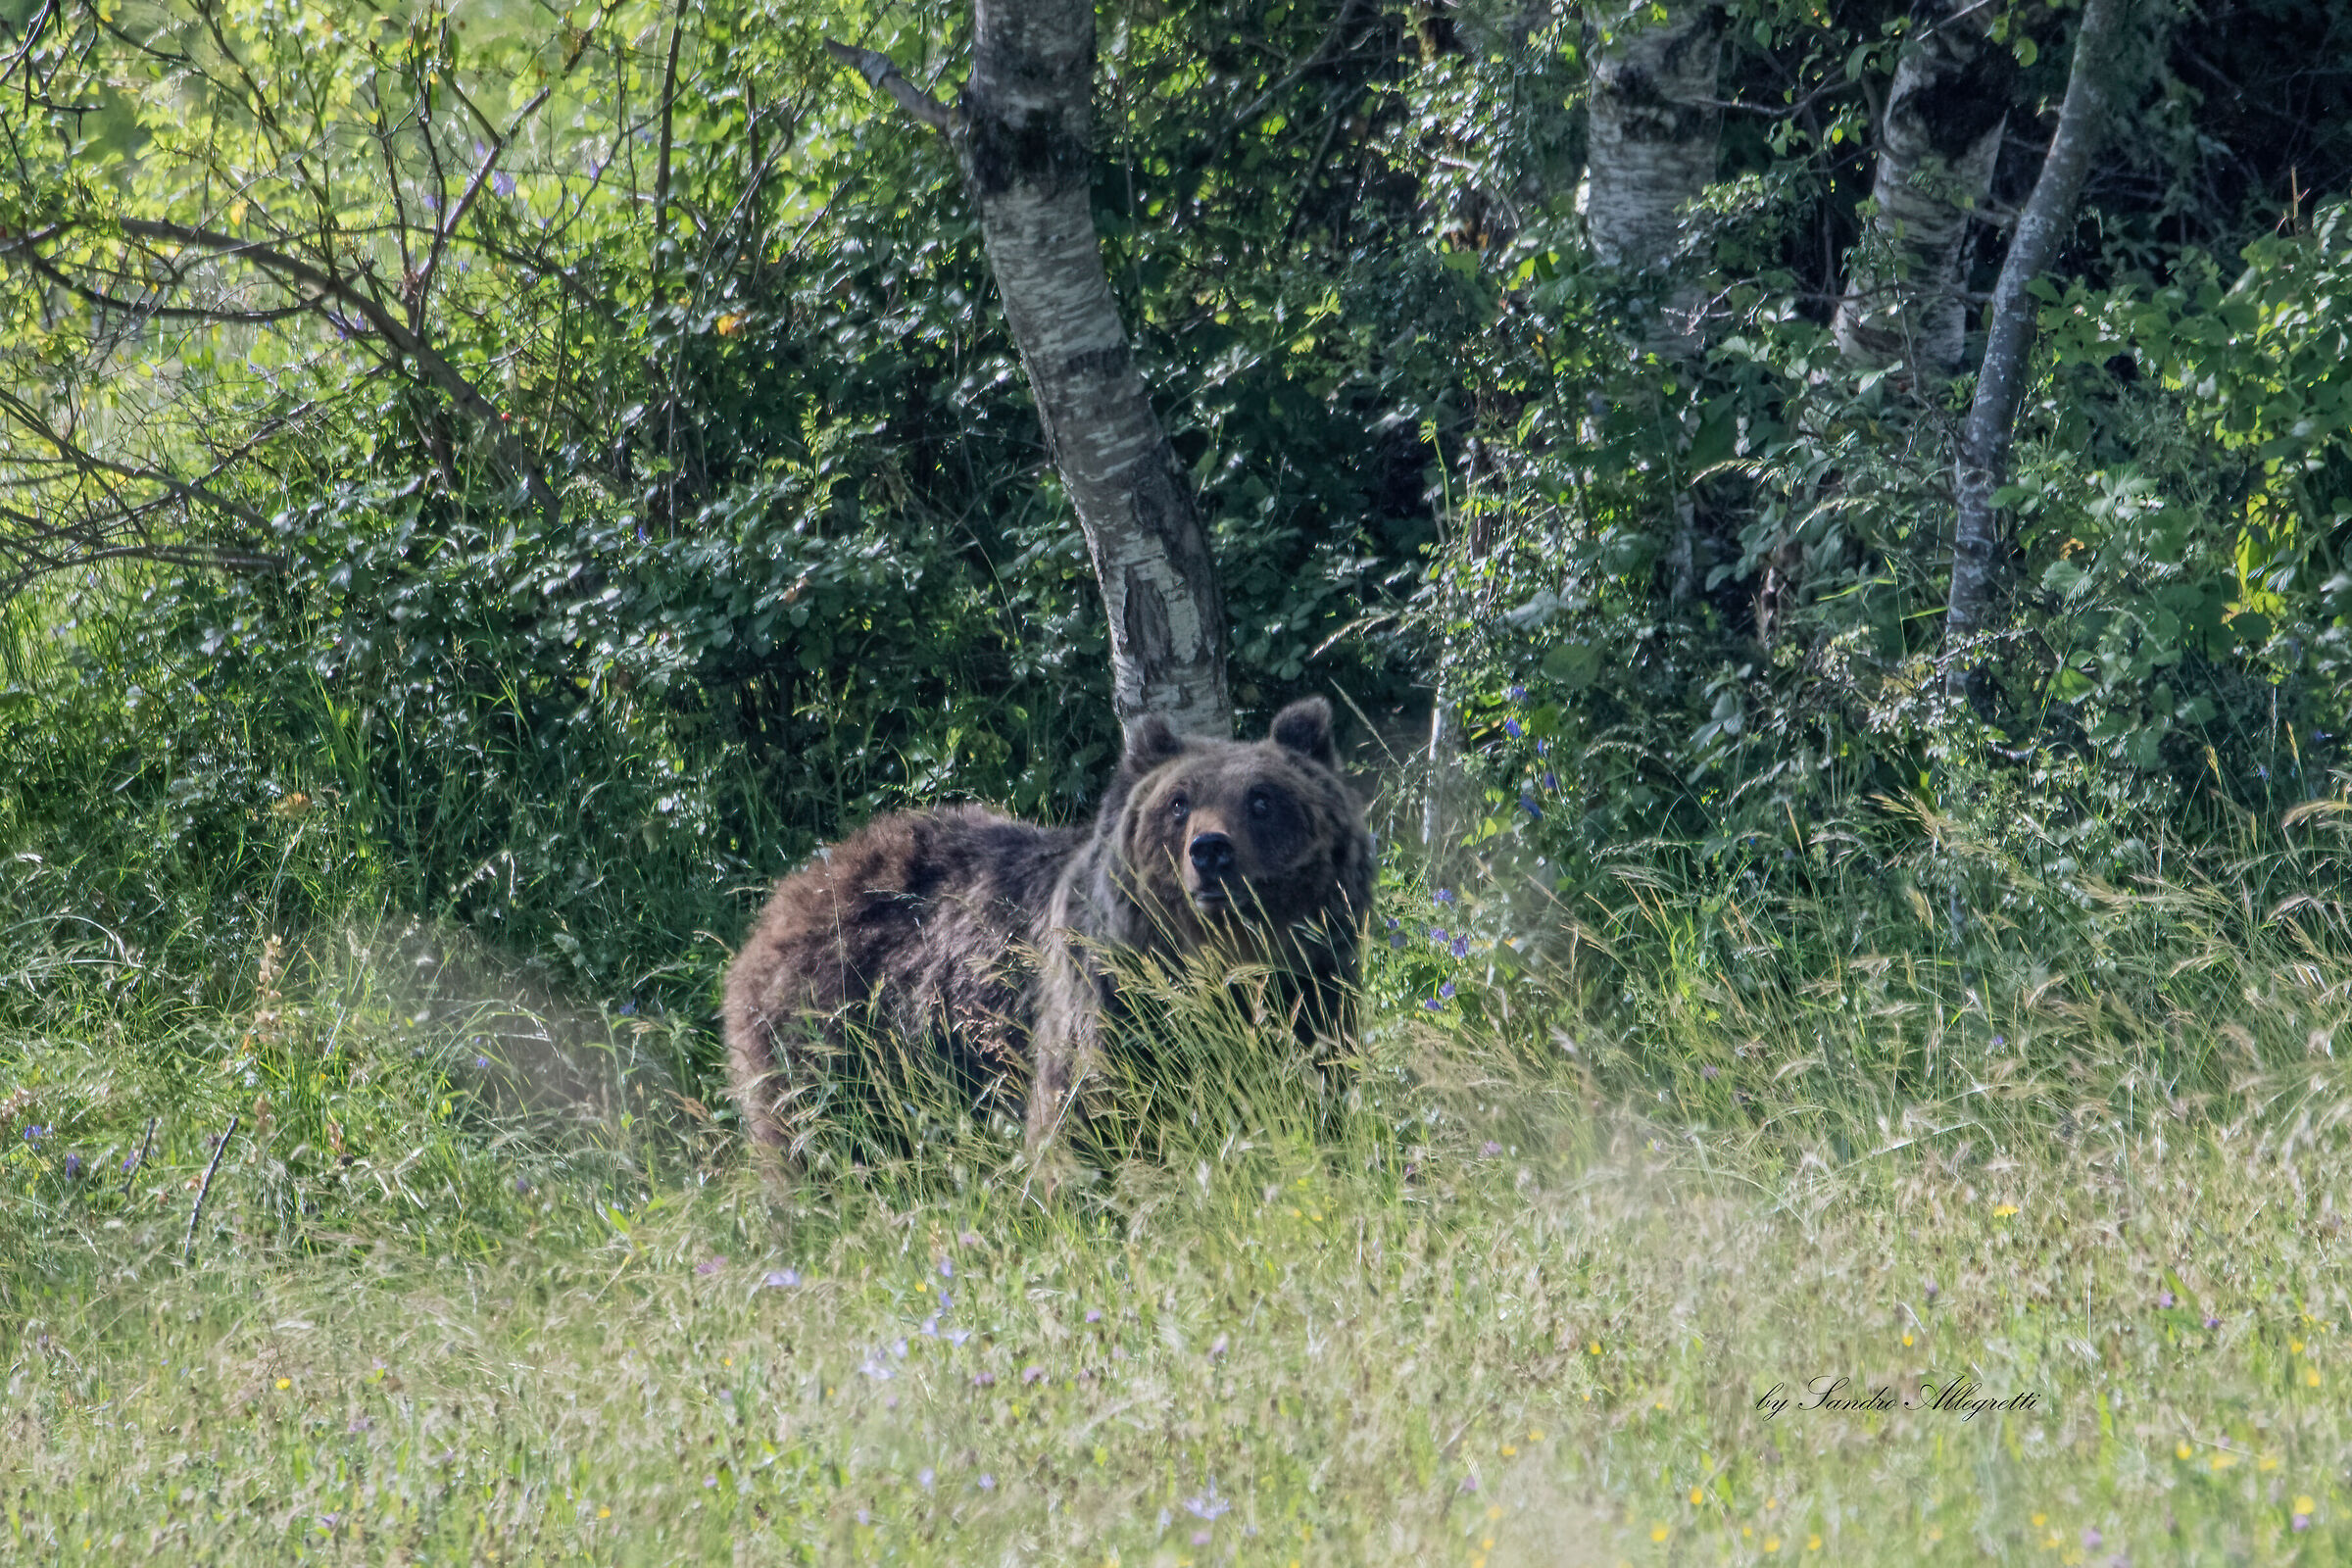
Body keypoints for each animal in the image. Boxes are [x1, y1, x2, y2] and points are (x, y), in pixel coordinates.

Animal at [722, 697, 1373, 1174]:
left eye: (1262, 799)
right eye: (1178, 802)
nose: (1210, 850)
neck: (1218, 963)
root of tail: (790, 893)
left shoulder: (1313, 986)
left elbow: (1322, 1080)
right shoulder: (1108, 999)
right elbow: (1085, 1113)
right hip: (836, 1031)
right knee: (822, 1140)